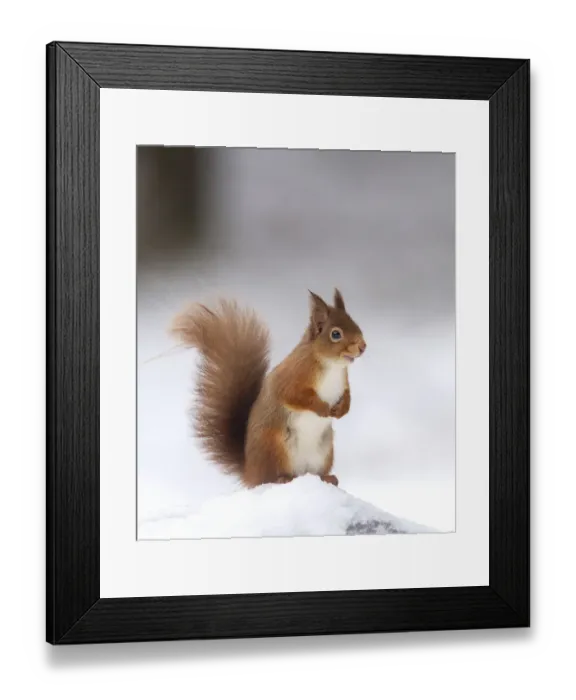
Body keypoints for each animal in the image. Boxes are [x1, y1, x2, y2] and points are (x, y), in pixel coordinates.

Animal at [170, 289, 366, 489]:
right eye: (336, 334)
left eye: (356, 324)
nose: (362, 346)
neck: (332, 366)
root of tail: (250, 472)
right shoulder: (292, 378)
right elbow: (295, 396)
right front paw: (323, 408)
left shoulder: (343, 382)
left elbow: (347, 395)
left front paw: (342, 409)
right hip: (275, 448)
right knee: (270, 478)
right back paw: (284, 478)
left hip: (324, 453)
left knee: (314, 473)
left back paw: (327, 478)